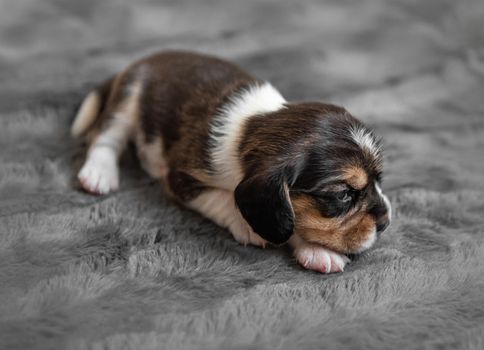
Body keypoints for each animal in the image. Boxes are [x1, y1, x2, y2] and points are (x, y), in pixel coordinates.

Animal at [72, 50, 392, 274]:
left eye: (379, 181)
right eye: (343, 195)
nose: (387, 223)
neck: (256, 124)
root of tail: (141, 61)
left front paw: (317, 249)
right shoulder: (182, 177)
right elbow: (229, 201)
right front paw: (246, 224)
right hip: (129, 99)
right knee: (104, 138)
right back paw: (99, 174)